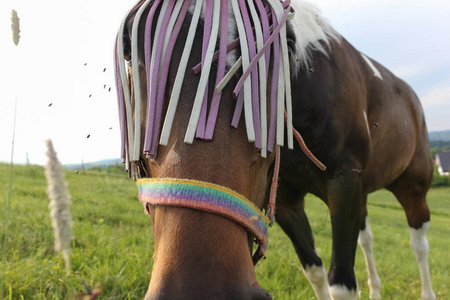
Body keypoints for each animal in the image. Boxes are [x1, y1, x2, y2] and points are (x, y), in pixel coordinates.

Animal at [115, 0, 436, 300]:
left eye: (288, 45)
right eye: (129, 49)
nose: (203, 288)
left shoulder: (344, 184)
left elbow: (342, 284)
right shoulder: (285, 201)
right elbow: (314, 270)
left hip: (412, 188)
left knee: (419, 245)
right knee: (367, 240)